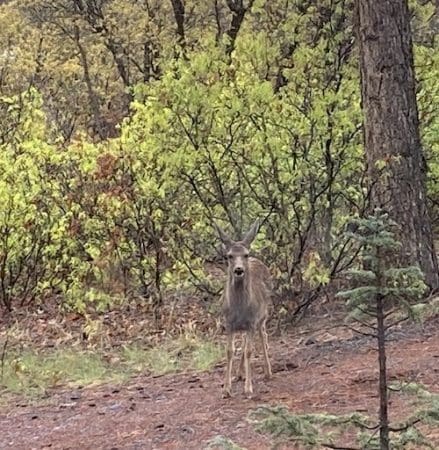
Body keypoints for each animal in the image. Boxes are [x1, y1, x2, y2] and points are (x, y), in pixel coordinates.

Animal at [214, 219, 272, 398]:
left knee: (263, 336)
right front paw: (226, 389)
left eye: (245, 254)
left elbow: (249, 351)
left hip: (263, 315)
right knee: (247, 341)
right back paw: (239, 374)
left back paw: (268, 372)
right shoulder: (229, 323)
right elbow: (230, 351)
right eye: (229, 256)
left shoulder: (252, 321)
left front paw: (248, 388)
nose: (239, 270)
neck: (239, 308)